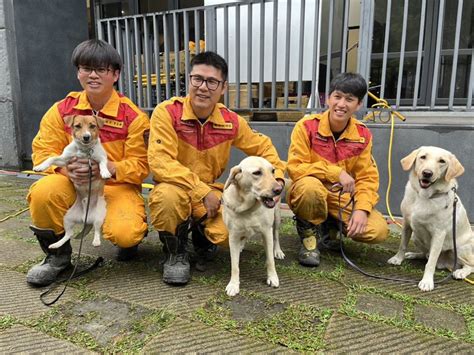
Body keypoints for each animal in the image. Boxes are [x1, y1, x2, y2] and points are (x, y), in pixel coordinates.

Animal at [33, 115, 111, 249]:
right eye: (77, 126)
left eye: (92, 126)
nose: (86, 137)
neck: (85, 151)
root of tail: (85, 219)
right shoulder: (65, 160)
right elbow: (51, 158)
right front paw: (40, 166)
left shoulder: (101, 157)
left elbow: (102, 163)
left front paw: (105, 172)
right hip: (67, 218)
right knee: (69, 234)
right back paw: (56, 244)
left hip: (99, 216)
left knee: (96, 230)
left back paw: (96, 241)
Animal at [223, 156, 286, 298]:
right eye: (257, 173)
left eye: (273, 171)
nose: (279, 189)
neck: (248, 208)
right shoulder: (233, 236)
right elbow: (234, 266)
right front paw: (233, 284)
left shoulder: (266, 232)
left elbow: (270, 260)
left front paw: (272, 277)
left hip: (277, 218)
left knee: (276, 236)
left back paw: (278, 251)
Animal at [388, 147, 474, 292]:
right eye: (423, 157)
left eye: (442, 161)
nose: (427, 173)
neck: (424, 196)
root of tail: (446, 264)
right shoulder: (406, 223)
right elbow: (402, 245)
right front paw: (398, 259)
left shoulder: (439, 234)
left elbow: (431, 262)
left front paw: (427, 282)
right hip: (416, 237)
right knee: (426, 254)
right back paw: (414, 254)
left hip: (460, 248)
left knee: (470, 264)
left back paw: (461, 272)